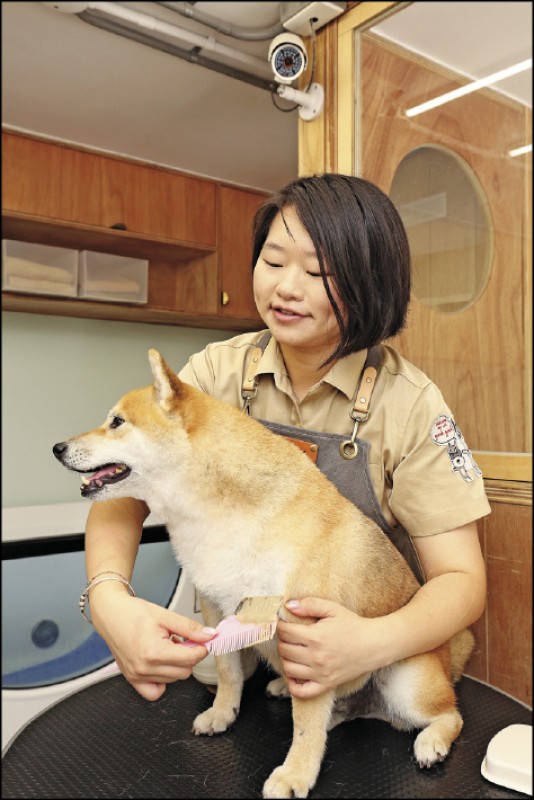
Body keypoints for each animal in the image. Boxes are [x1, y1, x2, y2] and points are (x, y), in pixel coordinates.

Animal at [52, 350, 476, 800]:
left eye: (116, 422)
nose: (58, 447)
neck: (215, 511)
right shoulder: (218, 608)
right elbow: (229, 673)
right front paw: (222, 712)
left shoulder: (305, 632)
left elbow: (305, 726)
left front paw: (295, 774)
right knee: (338, 712)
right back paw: (289, 691)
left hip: (406, 683)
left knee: (448, 714)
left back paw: (431, 741)